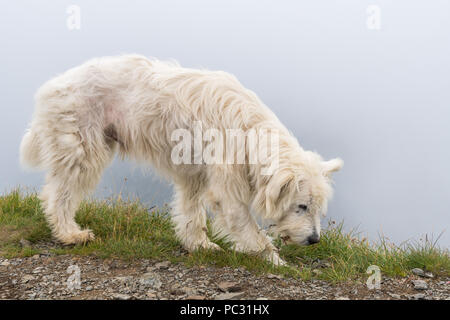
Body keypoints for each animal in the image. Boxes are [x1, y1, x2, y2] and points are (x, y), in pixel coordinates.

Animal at [19, 54, 342, 264]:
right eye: (301, 206)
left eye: (318, 209)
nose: (315, 240)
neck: (249, 132)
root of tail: (51, 86)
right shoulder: (226, 186)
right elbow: (247, 227)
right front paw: (275, 262)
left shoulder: (195, 174)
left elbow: (190, 211)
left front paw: (198, 244)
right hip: (81, 147)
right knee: (59, 194)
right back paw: (69, 234)